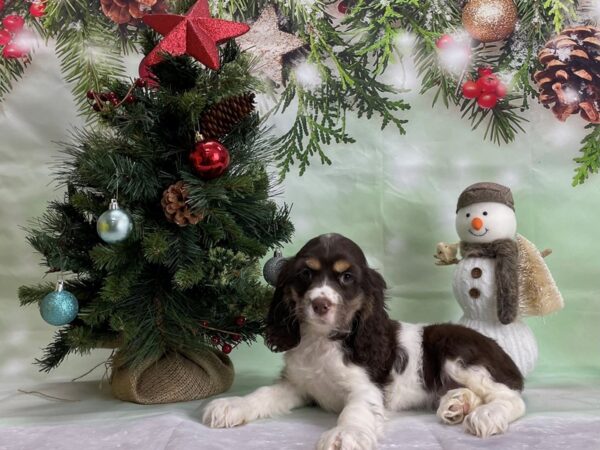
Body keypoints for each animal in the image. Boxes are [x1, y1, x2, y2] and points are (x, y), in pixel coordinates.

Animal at [203, 234, 524, 448]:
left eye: (346, 278)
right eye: (305, 273)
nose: (320, 304)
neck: (323, 342)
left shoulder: (365, 387)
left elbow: (355, 410)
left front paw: (345, 435)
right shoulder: (298, 385)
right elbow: (263, 394)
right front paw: (231, 406)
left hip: (456, 353)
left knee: (511, 397)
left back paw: (486, 415)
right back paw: (457, 404)